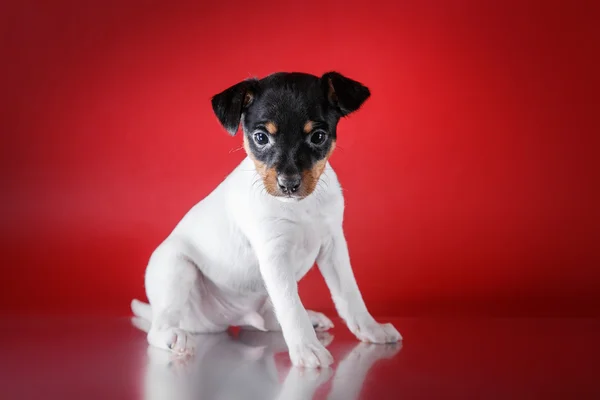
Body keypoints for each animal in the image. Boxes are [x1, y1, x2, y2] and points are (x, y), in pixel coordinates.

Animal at [132, 71, 404, 366]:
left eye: (318, 136)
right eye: (261, 138)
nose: (288, 184)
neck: (299, 207)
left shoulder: (333, 247)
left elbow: (349, 295)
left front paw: (371, 330)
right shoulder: (274, 255)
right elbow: (291, 306)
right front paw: (307, 349)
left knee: (269, 320)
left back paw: (311, 319)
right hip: (176, 267)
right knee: (157, 328)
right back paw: (174, 337)